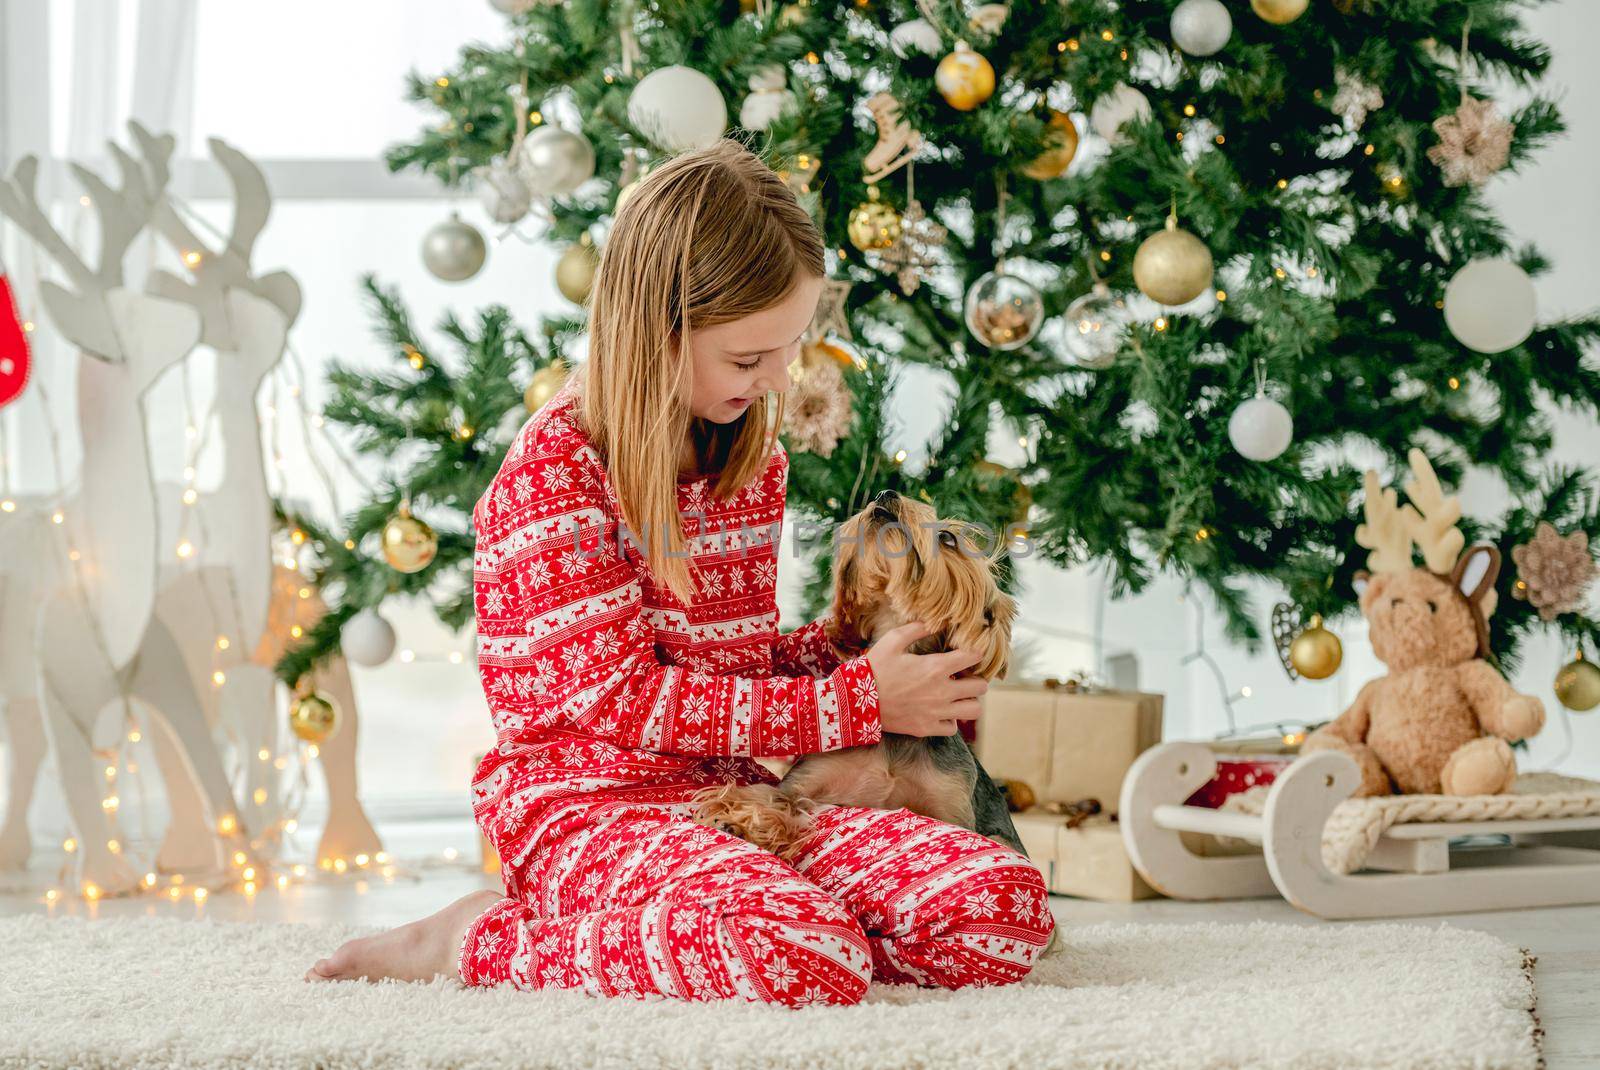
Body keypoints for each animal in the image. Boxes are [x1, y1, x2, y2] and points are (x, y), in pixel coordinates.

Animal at [694, 489, 1030, 863]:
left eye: (946, 538)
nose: (886, 492)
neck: (896, 737)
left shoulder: (952, 805)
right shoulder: (805, 781)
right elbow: (773, 798)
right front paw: (743, 824)